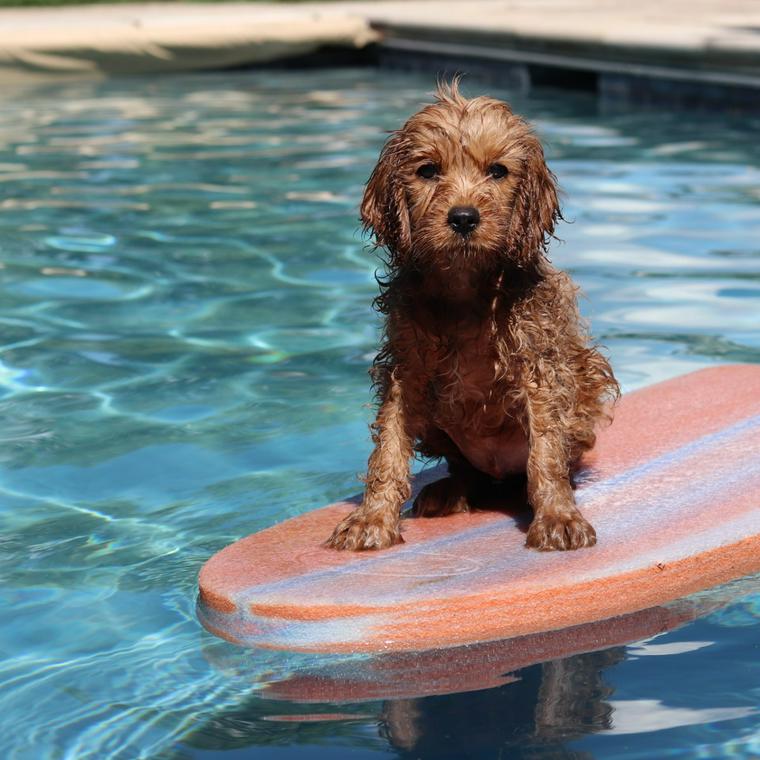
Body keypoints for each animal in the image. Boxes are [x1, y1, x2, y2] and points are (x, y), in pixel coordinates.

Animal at [326, 78, 616, 552]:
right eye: (428, 171)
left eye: (497, 171)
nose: (463, 217)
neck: (464, 287)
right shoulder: (405, 370)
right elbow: (388, 448)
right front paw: (371, 519)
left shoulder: (539, 366)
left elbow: (545, 451)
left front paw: (558, 515)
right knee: (466, 471)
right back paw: (449, 490)